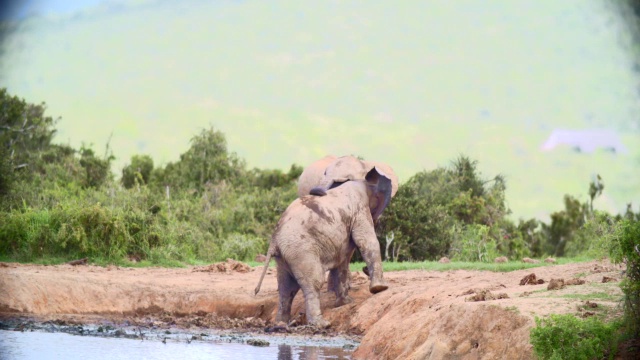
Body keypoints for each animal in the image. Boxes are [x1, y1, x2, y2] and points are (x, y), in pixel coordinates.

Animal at [254, 167, 392, 328]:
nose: (364, 270)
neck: (362, 181)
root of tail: (274, 239)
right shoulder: (360, 209)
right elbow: (367, 242)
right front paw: (380, 288)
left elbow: (342, 260)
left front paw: (345, 303)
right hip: (301, 251)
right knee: (313, 282)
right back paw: (322, 324)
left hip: (285, 255)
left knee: (287, 288)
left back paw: (281, 323)